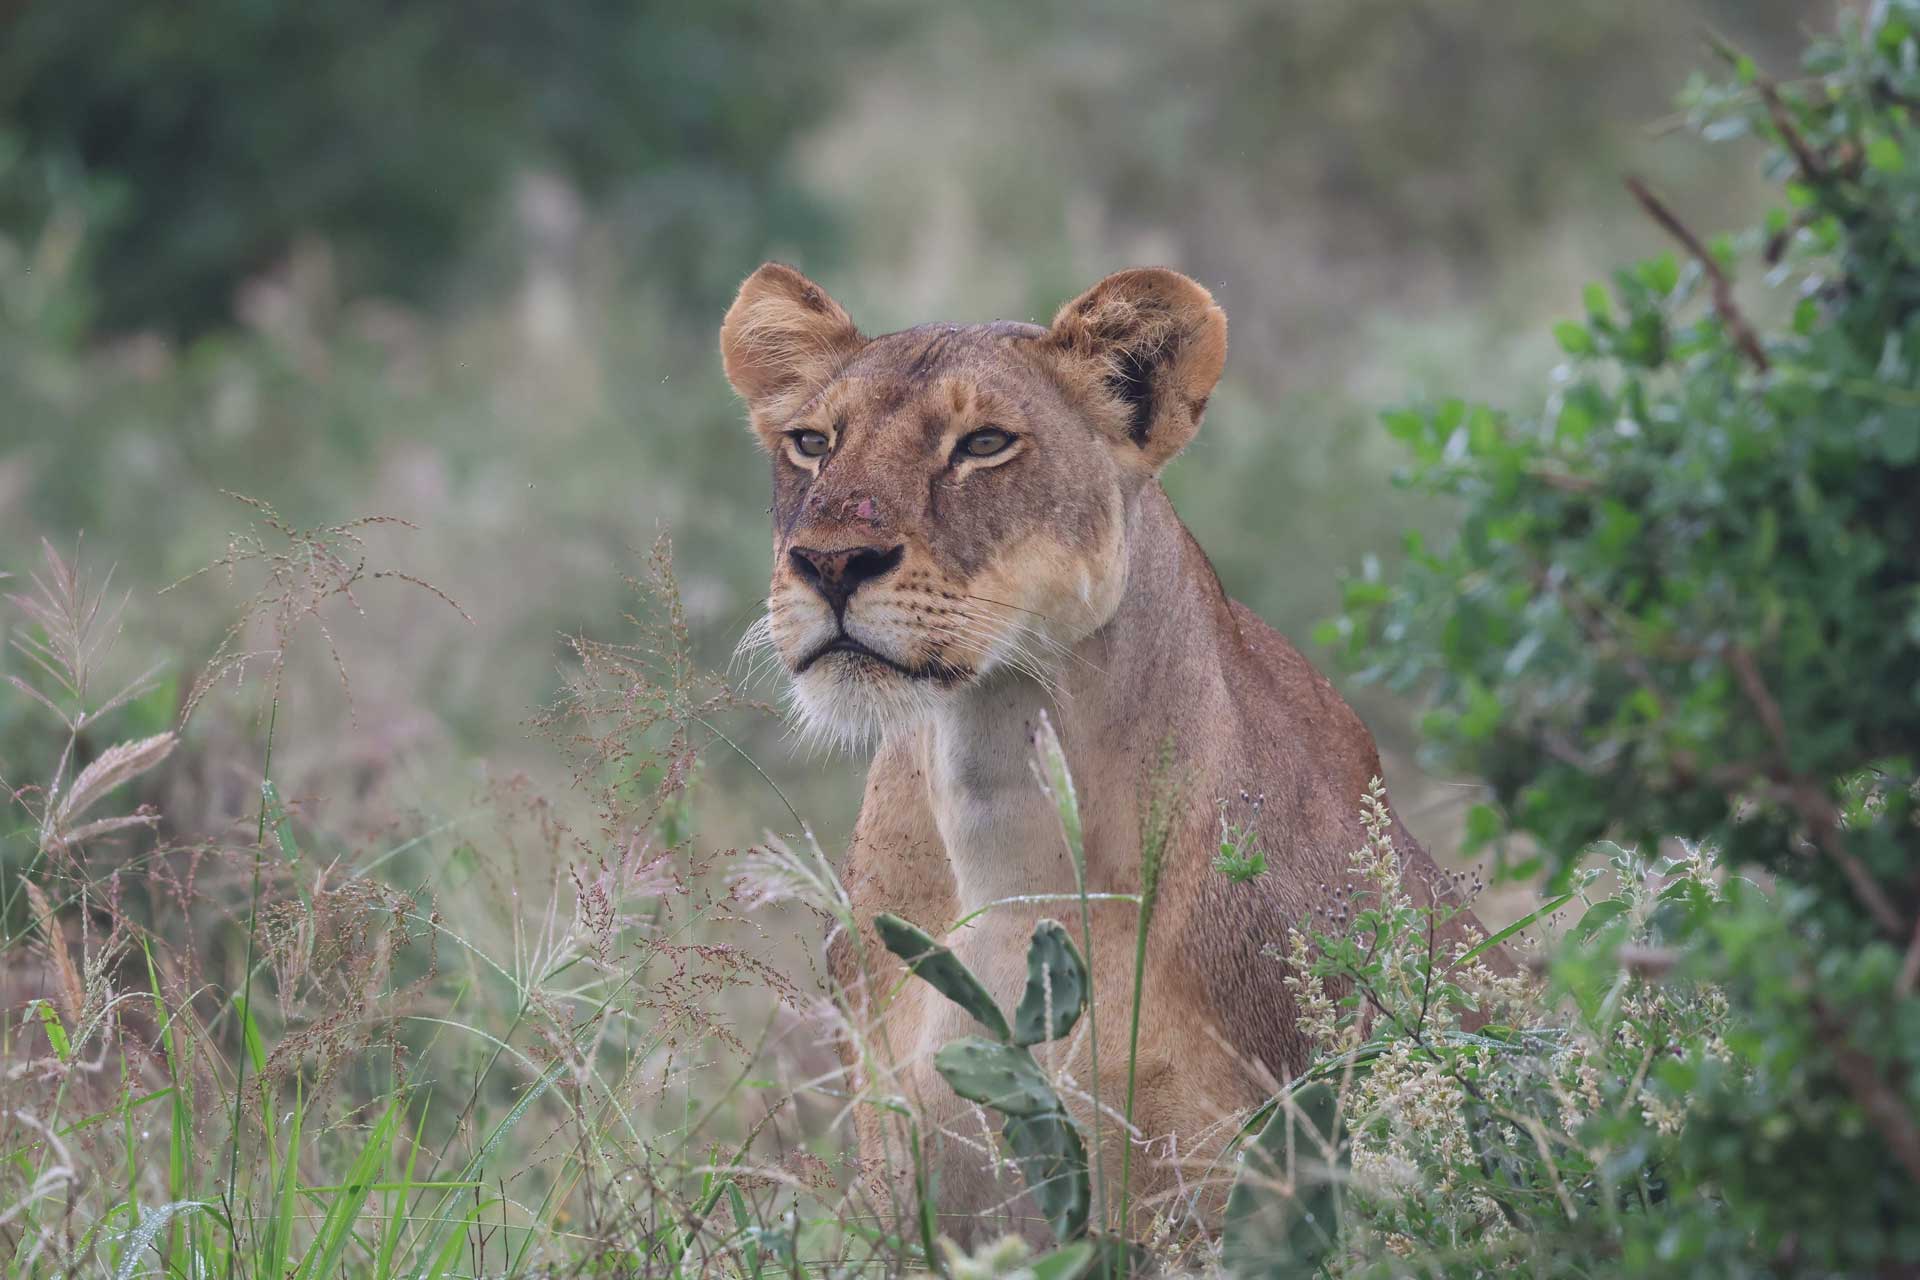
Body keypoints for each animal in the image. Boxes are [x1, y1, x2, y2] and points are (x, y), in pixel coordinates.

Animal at [720, 262, 1496, 1244]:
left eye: (984, 444)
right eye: (812, 443)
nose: (829, 564)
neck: (997, 795)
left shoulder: (1200, 1189)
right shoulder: (902, 1182)